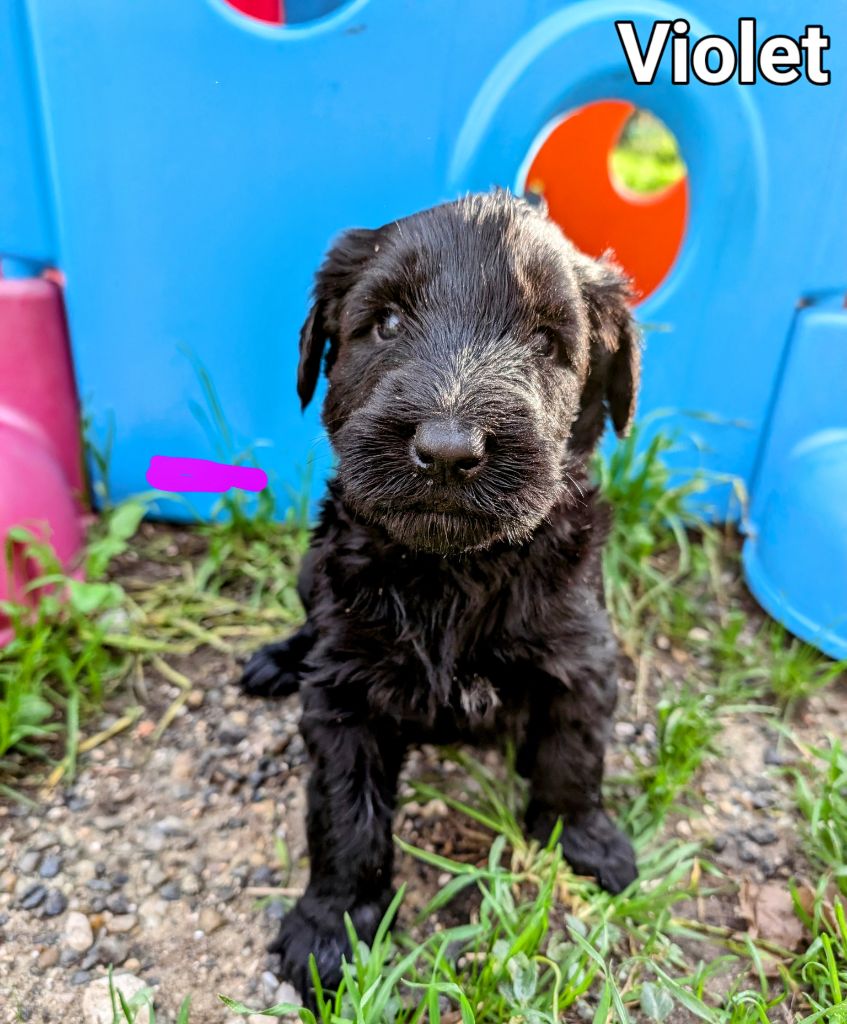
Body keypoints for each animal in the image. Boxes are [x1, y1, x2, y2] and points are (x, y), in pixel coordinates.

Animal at [244, 192, 643, 999]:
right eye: (388, 324)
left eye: (547, 340)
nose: (449, 452)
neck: (451, 573)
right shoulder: (344, 690)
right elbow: (345, 815)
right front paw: (330, 927)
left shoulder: (581, 654)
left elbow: (573, 758)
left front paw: (586, 843)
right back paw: (277, 658)